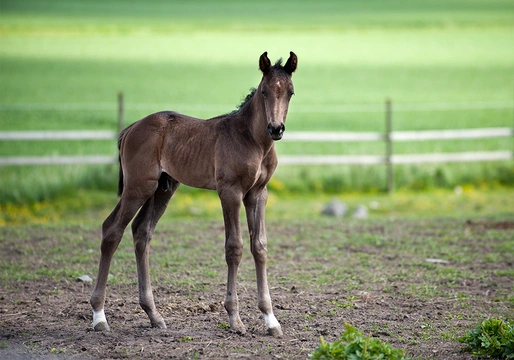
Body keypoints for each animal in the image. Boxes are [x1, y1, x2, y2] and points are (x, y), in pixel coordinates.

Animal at [88, 51, 296, 338]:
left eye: (290, 92)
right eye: (264, 91)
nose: (276, 129)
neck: (253, 140)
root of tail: (131, 128)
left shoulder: (257, 194)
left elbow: (260, 247)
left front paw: (271, 320)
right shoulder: (230, 192)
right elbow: (234, 247)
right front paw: (235, 319)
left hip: (163, 188)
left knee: (142, 231)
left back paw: (154, 315)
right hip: (138, 186)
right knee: (112, 230)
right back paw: (99, 317)